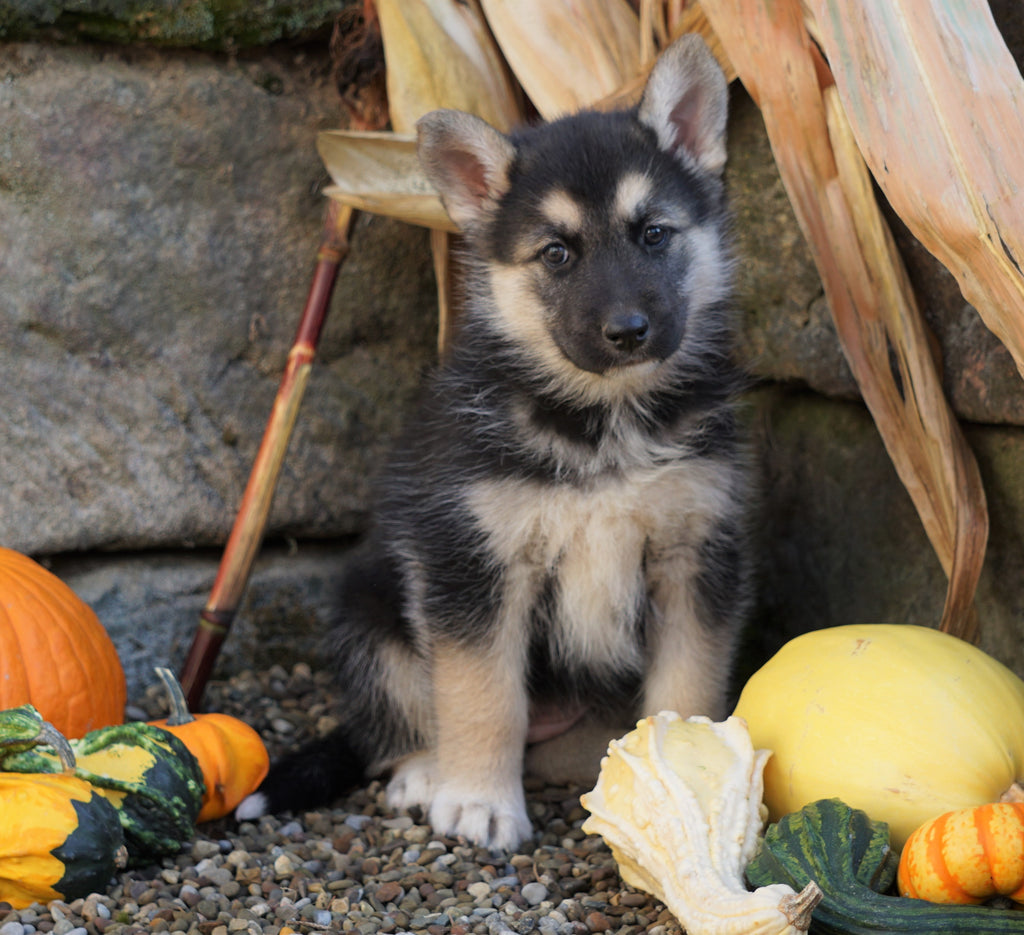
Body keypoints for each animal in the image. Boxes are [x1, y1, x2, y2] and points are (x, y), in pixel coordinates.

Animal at [239, 36, 753, 852]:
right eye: (556, 254)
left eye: (654, 233)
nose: (629, 331)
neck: (600, 424)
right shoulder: (473, 564)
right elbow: (483, 694)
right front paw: (479, 801)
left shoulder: (695, 556)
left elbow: (686, 689)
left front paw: (682, 776)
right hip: (374, 609)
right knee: (404, 720)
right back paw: (427, 773)